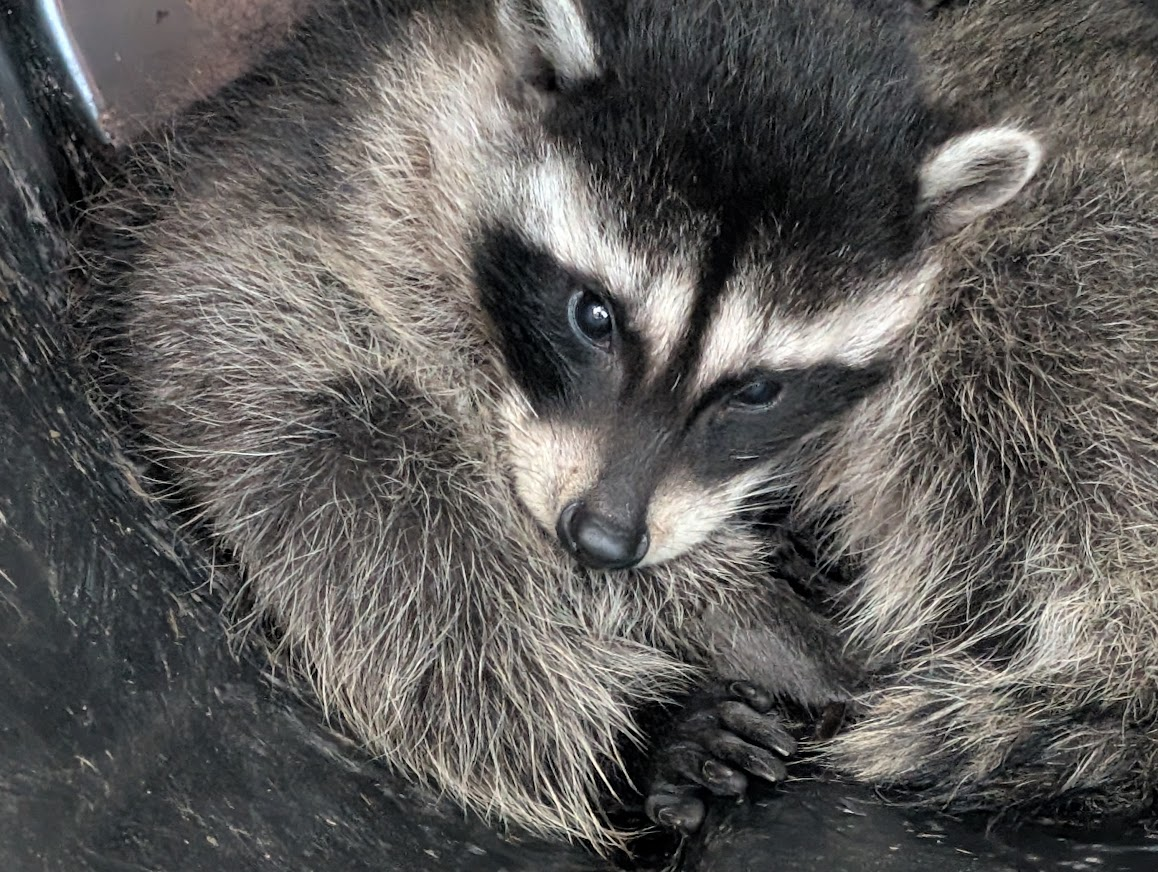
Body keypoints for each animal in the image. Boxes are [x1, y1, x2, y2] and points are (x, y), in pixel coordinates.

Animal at [78, 0, 1039, 850]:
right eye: (593, 315)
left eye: (759, 389)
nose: (604, 539)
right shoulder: (346, 212)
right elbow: (384, 505)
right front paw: (741, 617)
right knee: (376, 510)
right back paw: (625, 733)